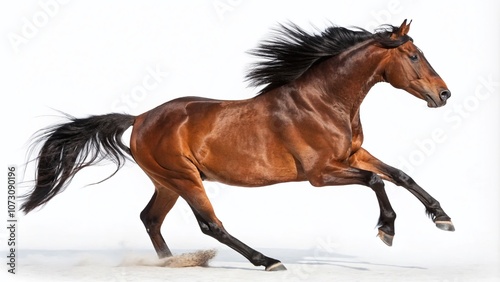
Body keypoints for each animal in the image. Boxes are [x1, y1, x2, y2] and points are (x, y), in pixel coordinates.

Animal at [22, 19, 454, 270]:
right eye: (414, 56)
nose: (444, 95)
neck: (323, 101)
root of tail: (140, 118)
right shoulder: (321, 173)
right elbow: (377, 182)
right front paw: (387, 229)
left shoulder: (353, 154)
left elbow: (400, 175)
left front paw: (442, 217)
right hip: (184, 179)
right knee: (209, 223)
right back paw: (266, 260)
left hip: (167, 182)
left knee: (150, 218)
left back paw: (171, 263)